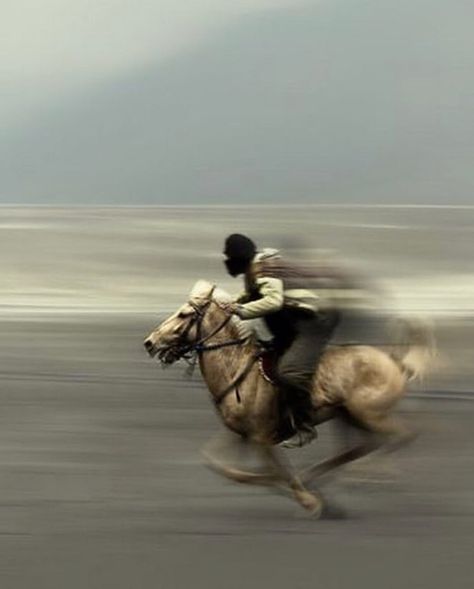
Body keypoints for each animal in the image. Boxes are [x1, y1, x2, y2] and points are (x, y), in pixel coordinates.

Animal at [143, 280, 434, 516]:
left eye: (184, 314)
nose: (149, 342)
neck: (237, 368)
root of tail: (394, 361)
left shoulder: (261, 437)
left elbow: (274, 471)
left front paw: (310, 501)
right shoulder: (241, 435)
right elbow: (224, 467)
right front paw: (314, 497)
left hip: (369, 414)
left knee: (401, 436)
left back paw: (365, 476)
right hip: (348, 416)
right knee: (357, 448)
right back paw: (319, 478)